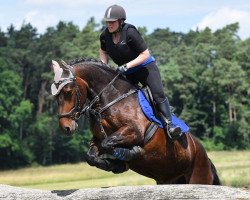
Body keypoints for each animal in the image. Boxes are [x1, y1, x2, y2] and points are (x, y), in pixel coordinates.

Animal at [50, 57, 221, 184]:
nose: (66, 127)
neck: (109, 99)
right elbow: (91, 156)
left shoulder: (134, 131)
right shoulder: (98, 139)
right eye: (55, 96)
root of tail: (205, 157)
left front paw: (128, 154)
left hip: (198, 176)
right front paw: (113, 164)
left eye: (68, 91)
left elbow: (109, 143)